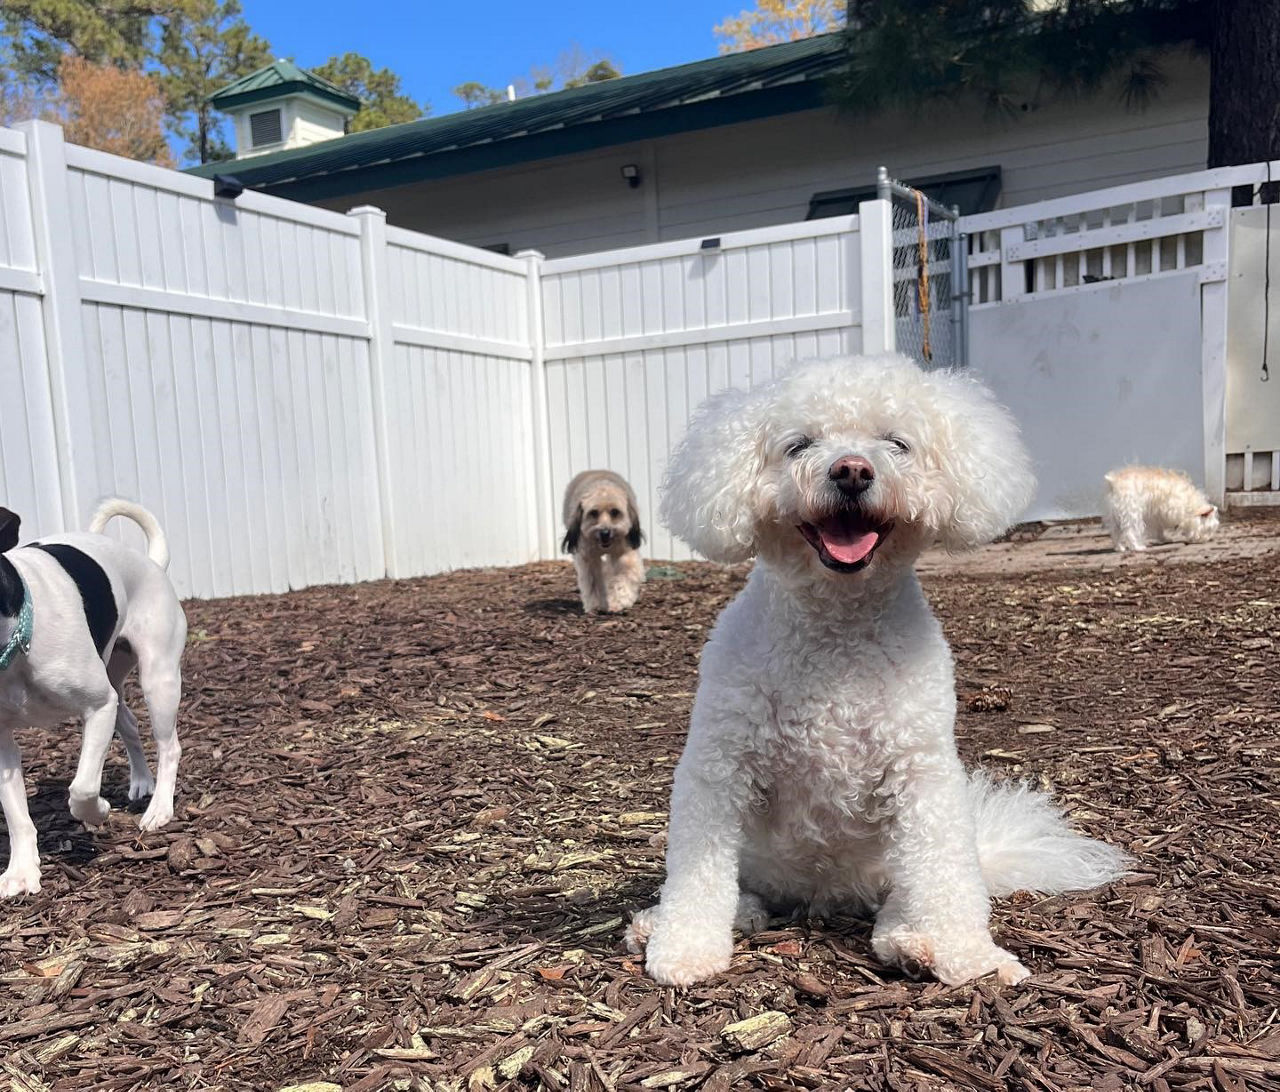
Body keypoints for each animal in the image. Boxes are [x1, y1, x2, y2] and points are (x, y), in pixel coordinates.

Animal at [0, 501, 186, 896]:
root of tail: (151, 562)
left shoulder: (98, 707)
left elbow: (82, 789)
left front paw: (99, 810)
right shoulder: (1, 743)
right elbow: (16, 814)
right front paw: (22, 869)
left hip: (158, 681)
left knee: (170, 747)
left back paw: (160, 808)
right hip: (116, 680)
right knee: (129, 724)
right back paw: (141, 781)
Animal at [560, 471, 645, 614]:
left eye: (615, 512)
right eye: (593, 513)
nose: (605, 532)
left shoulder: (625, 553)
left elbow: (624, 577)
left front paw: (618, 602)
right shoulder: (588, 557)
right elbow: (593, 581)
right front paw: (595, 605)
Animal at [624, 355, 1126, 988]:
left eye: (897, 443)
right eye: (799, 445)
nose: (852, 471)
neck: (837, 633)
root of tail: (821, 897)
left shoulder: (923, 774)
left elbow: (946, 877)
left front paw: (971, 956)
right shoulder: (718, 767)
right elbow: (698, 871)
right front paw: (685, 946)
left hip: (899, 865)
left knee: (908, 900)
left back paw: (912, 942)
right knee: (741, 890)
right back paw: (668, 921)